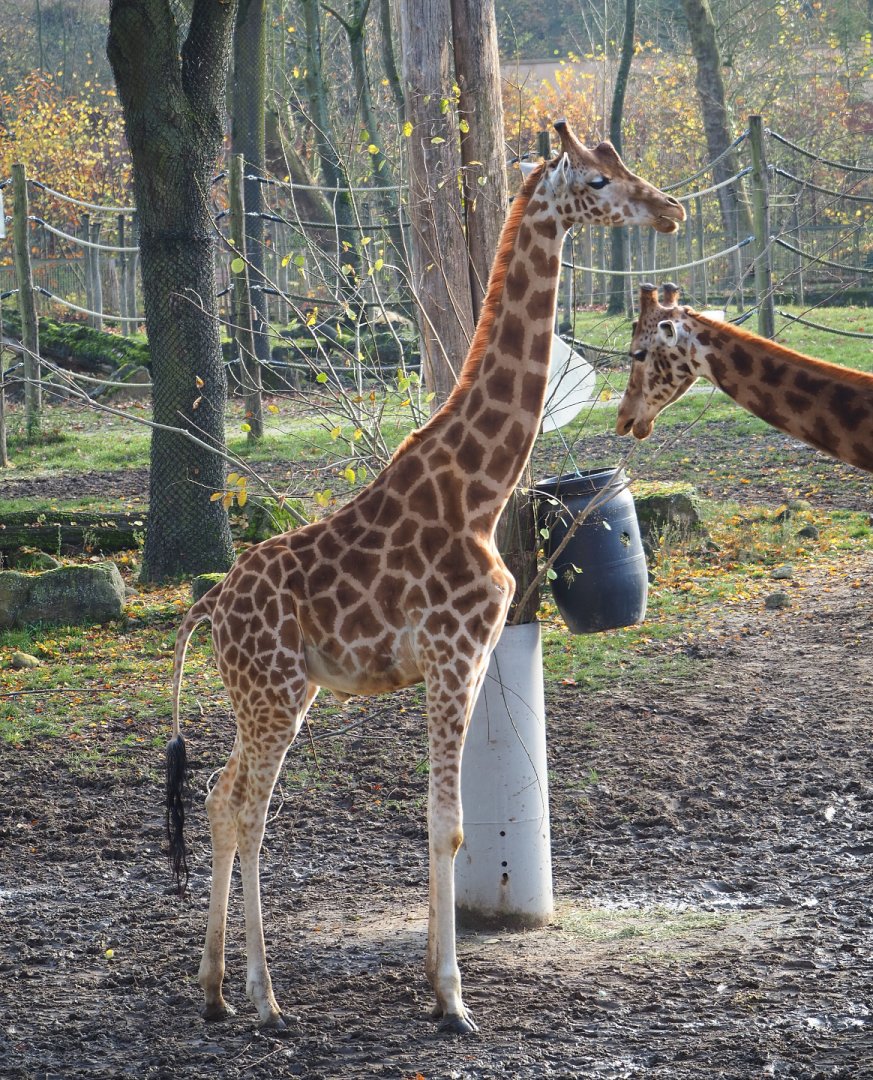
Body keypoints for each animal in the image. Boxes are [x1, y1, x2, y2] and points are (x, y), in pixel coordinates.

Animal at [167, 122, 685, 1035]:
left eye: (622, 164)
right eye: (595, 179)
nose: (667, 208)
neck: (477, 488)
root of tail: (214, 606)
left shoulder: (469, 657)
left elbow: (452, 824)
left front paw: (440, 984)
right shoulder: (452, 651)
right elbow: (446, 824)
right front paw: (450, 999)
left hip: (273, 693)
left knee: (223, 801)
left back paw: (217, 989)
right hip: (272, 695)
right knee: (247, 810)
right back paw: (266, 997)